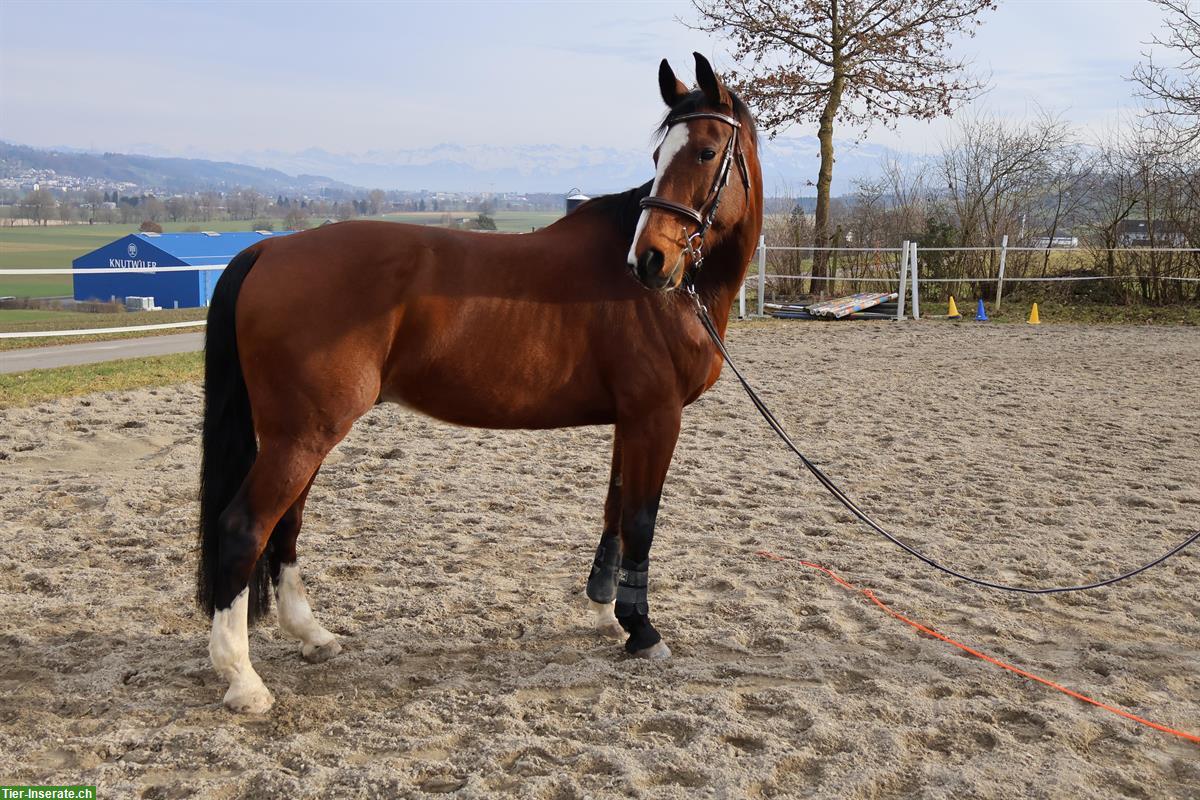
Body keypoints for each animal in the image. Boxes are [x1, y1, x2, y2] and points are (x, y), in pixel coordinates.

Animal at [194, 51, 758, 714]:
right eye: (658, 157)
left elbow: (616, 510)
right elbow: (641, 519)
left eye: (704, 152)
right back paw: (242, 679)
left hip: (298, 437)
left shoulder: (632, 418)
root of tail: (269, 249)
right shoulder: (656, 416)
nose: (648, 262)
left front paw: (606, 612)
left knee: (285, 526)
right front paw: (642, 631)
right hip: (301, 436)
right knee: (244, 528)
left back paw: (312, 636)